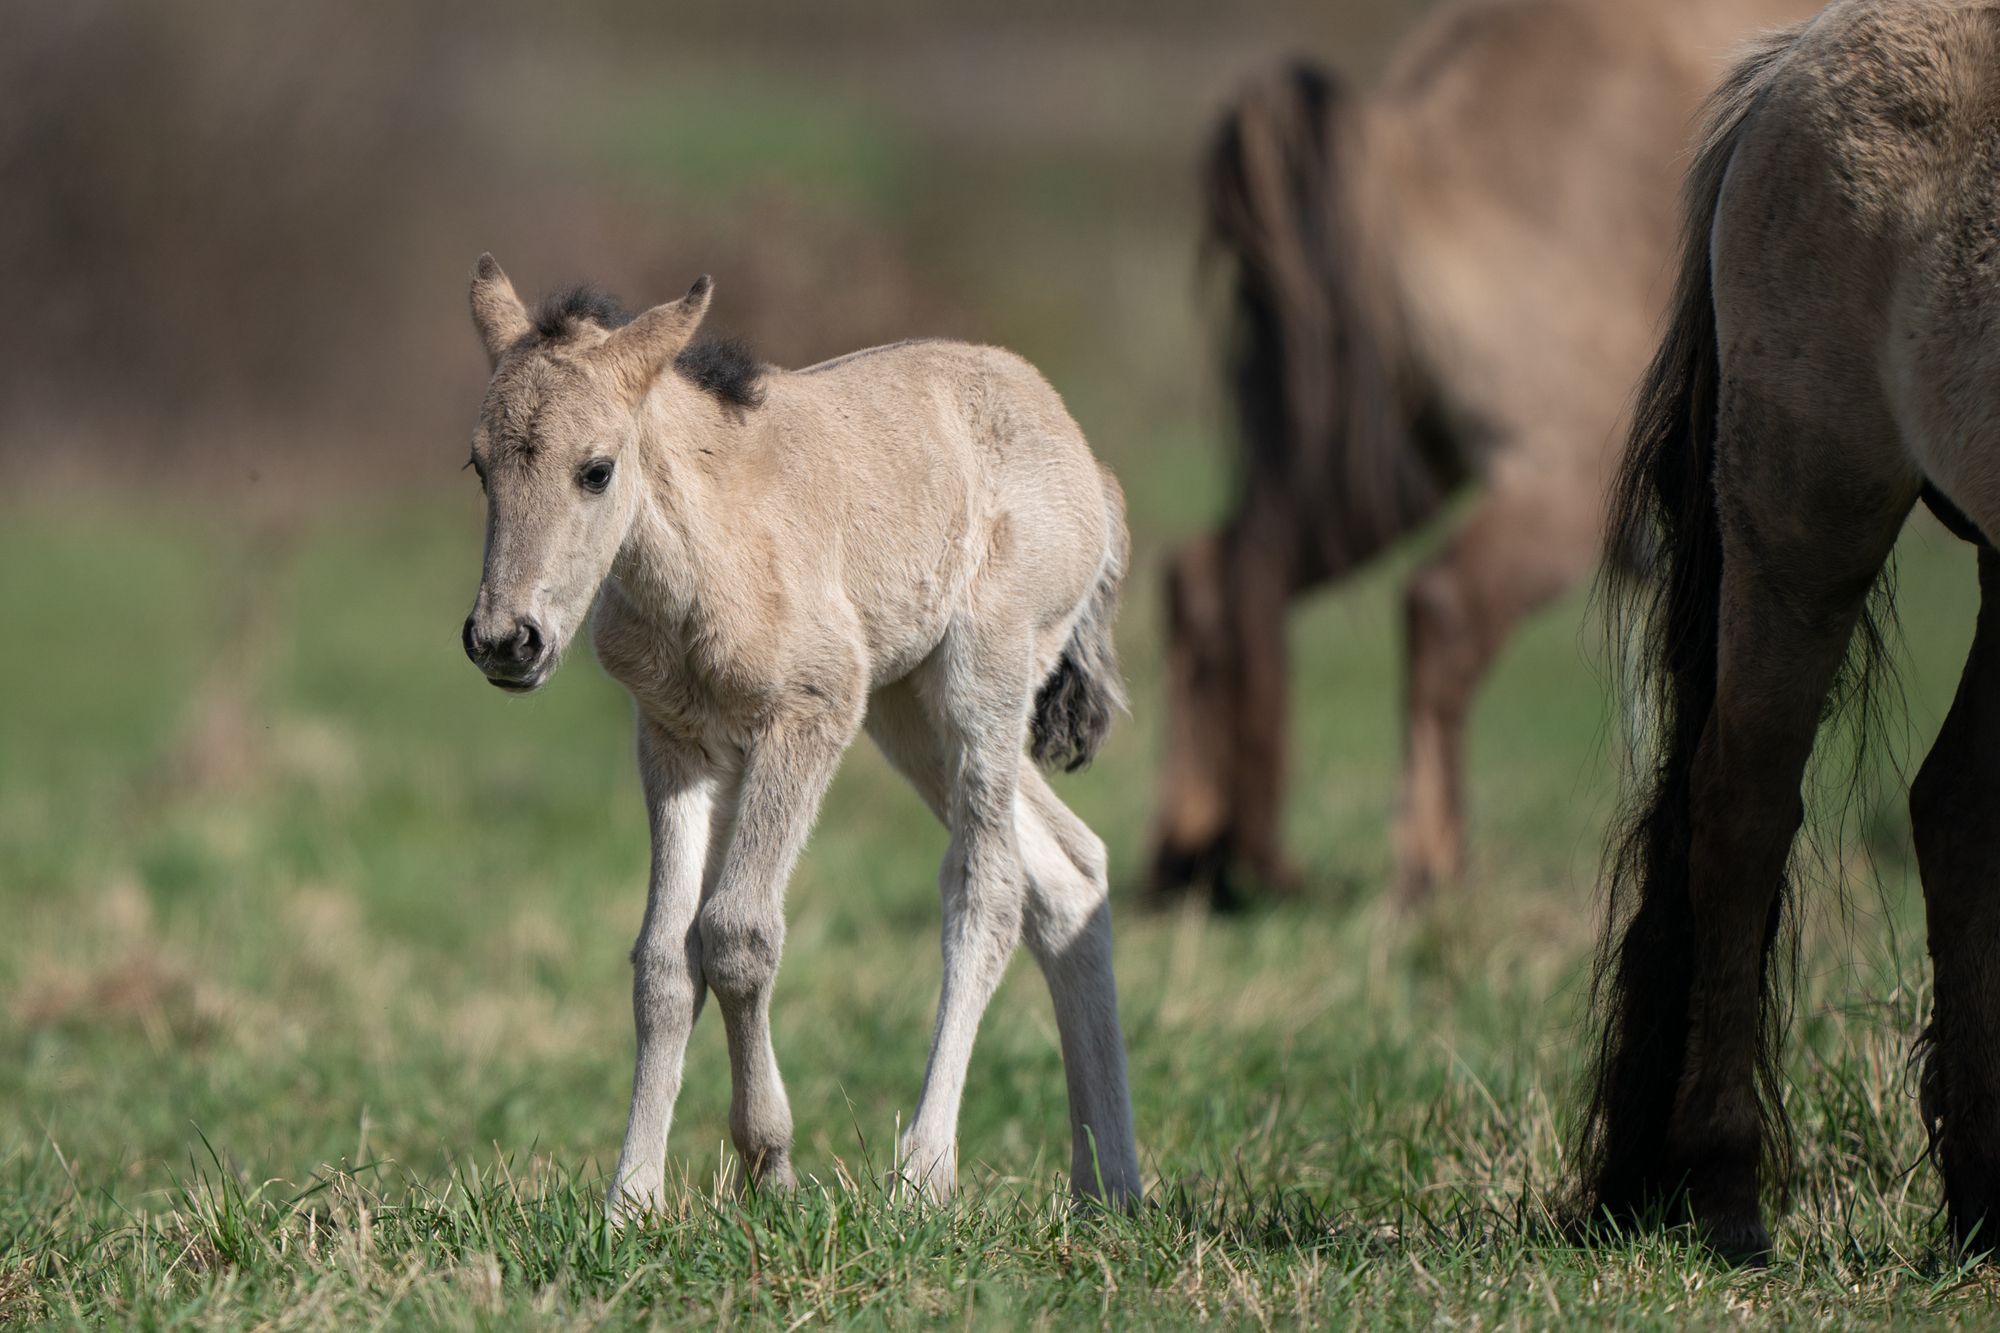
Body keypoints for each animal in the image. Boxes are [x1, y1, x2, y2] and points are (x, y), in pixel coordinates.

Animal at [458, 256, 1143, 1214]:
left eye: (595, 470)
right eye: (479, 466)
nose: (503, 640)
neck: (707, 543)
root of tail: (1088, 465)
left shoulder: (809, 715)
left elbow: (738, 933)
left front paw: (769, 1164)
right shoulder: (674, 741)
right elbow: (664, 961)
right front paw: (633, 1197)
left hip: (986, 677)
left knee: (990, 887)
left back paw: (924, 1171)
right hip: (907, 709)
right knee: (1069, 872)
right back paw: (1108, 1184)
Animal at [1147, 0, 1819, 909]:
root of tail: (1402, 138)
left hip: (1386, 464)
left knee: (1213, 575)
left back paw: (1188, 851)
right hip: (1564, 480)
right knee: (1441, 608)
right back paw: (1430, 869)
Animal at [1578, 0, 2000, 1260]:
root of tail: (1790, 63)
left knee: (1954, 811)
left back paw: (1982, 1197)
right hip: (1804, 526)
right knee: (1742, 813)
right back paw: (1721, 1189)